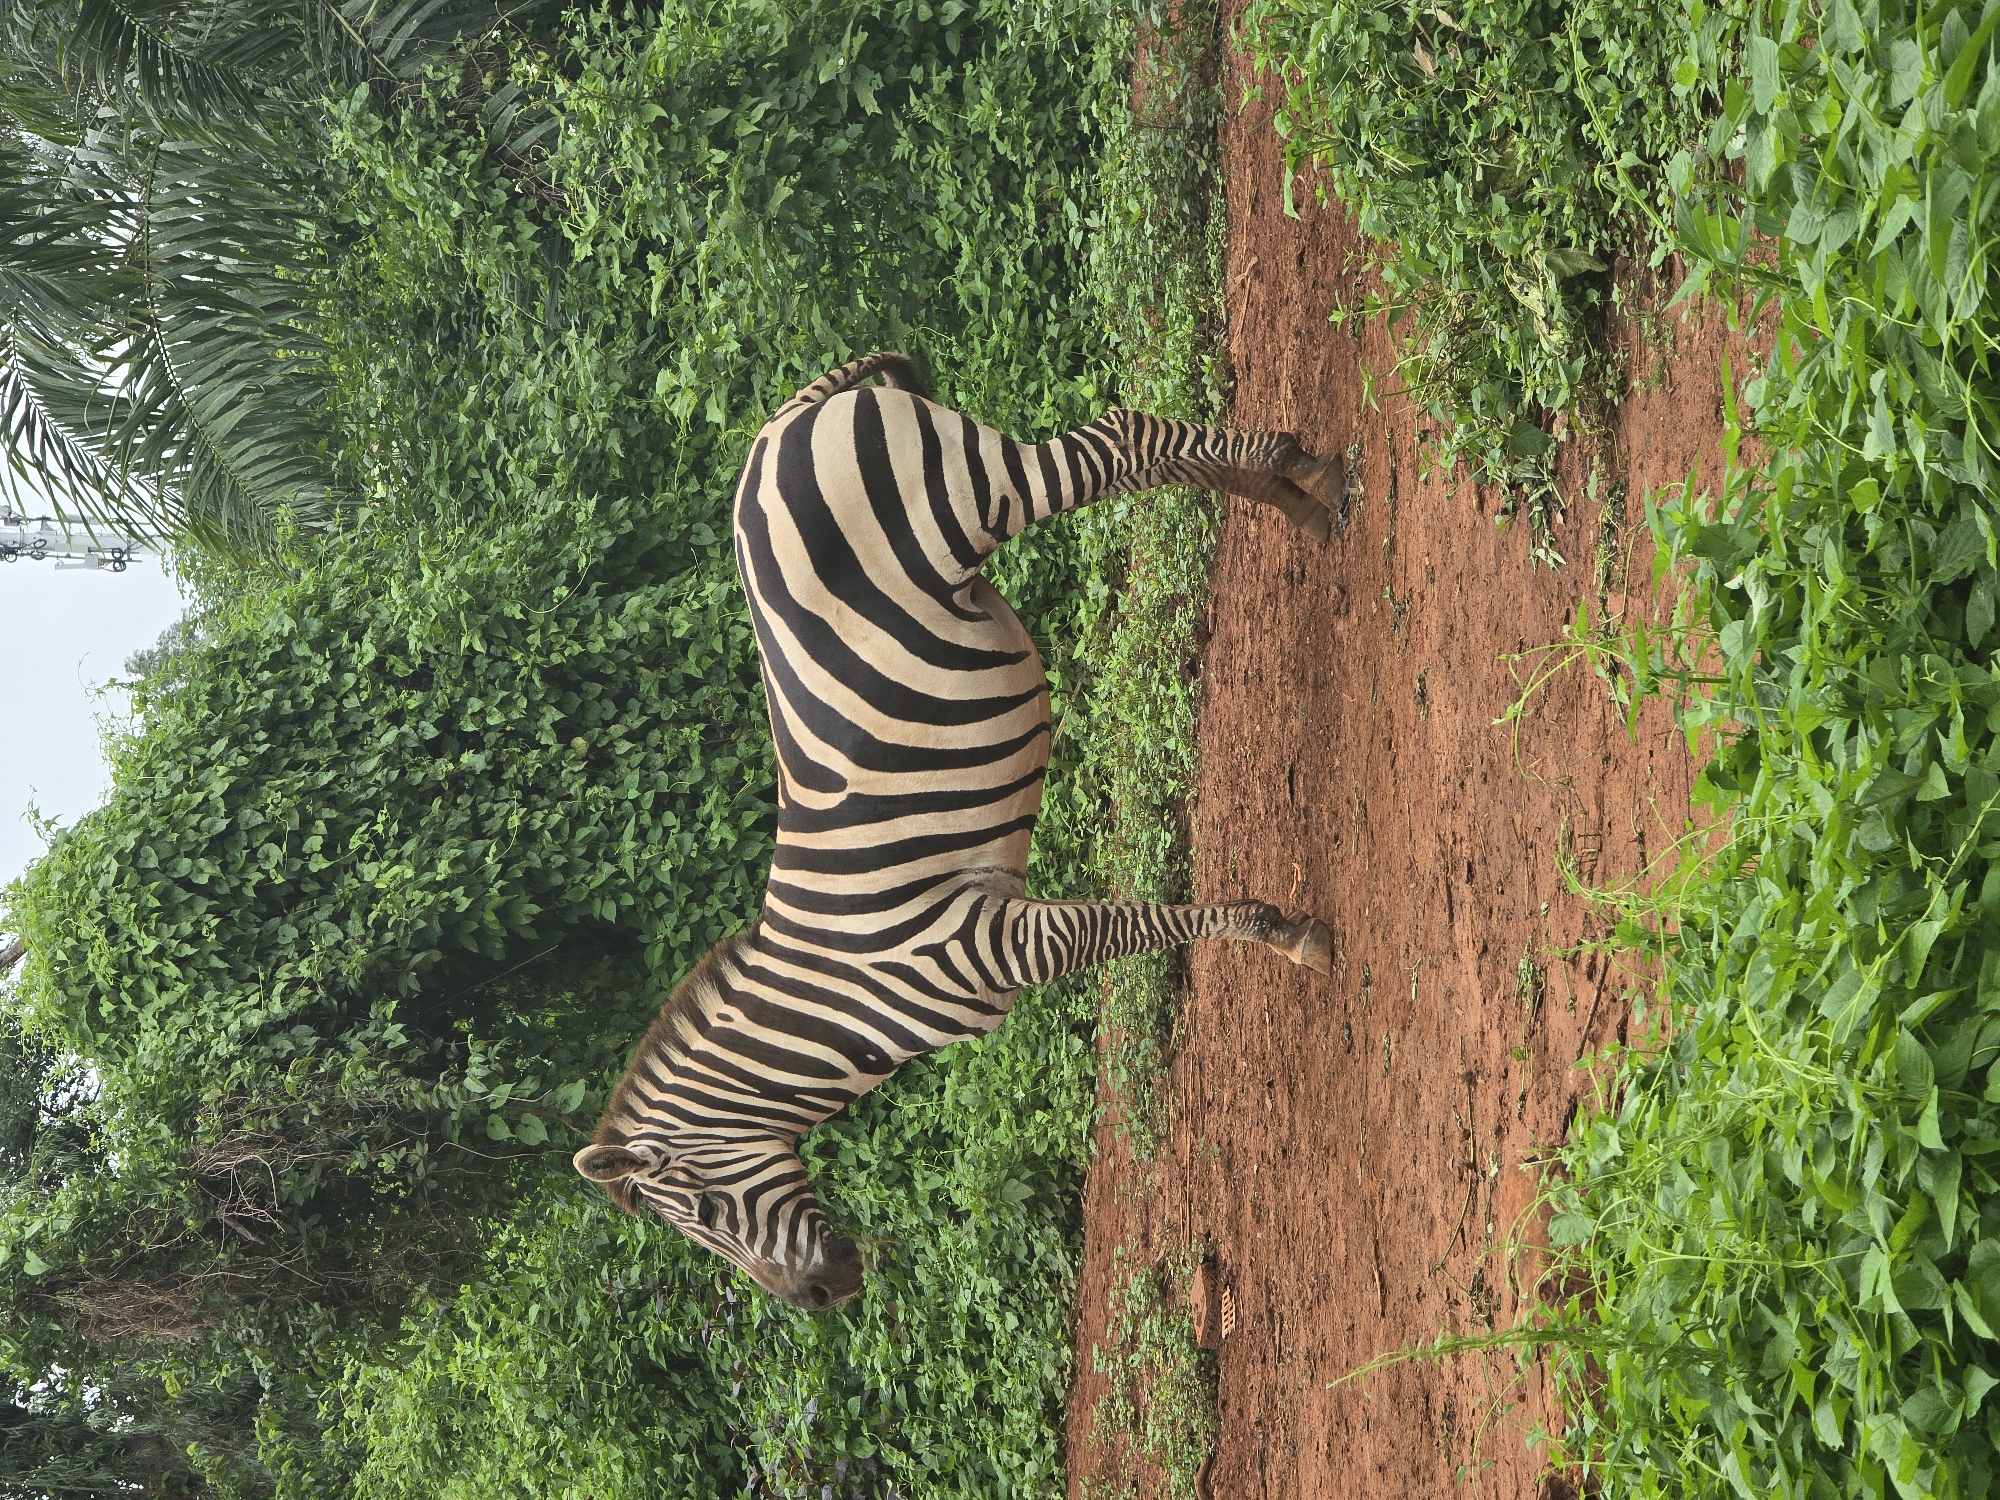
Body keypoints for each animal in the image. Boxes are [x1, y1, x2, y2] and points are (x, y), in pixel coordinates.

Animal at [574, 353, 1339, 1309]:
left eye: (709, 1216)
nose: (824, 1298)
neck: (840, 1002)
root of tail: (776, 426)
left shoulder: (995, 944)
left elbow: (1142, 924)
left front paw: (1286, 935)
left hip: (974, 491)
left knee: (1121, 440)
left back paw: (1306, 472)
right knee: (1149, 462)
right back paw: (1295, 507)